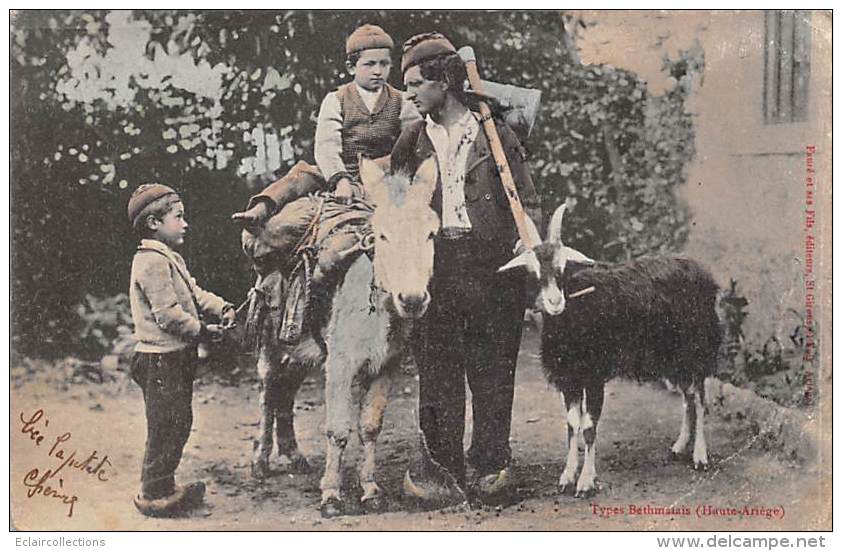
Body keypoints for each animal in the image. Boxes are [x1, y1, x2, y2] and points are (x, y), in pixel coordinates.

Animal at [498, 205, 720, 498]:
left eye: (561, 270)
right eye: (534, 273)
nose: (555, 302)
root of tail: (703, 274)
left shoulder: (593, 378)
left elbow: (589, 428)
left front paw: (585, 482)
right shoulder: (569, 379)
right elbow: (572, 424)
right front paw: (567, 475)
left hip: (695, 351)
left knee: (700, 398)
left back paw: (700, 456)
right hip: (672, 359)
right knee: (688, 398)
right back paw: (680, 446)